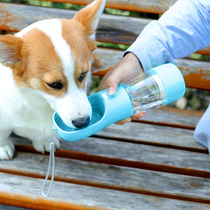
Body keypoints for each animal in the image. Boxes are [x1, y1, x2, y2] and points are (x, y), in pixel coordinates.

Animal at [0, 0, 106, 159]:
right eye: (53, 84)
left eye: (83, 74)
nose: (83, 122)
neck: (38, 101)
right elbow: (3, 134)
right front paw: (3, 147)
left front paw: (43, 140)